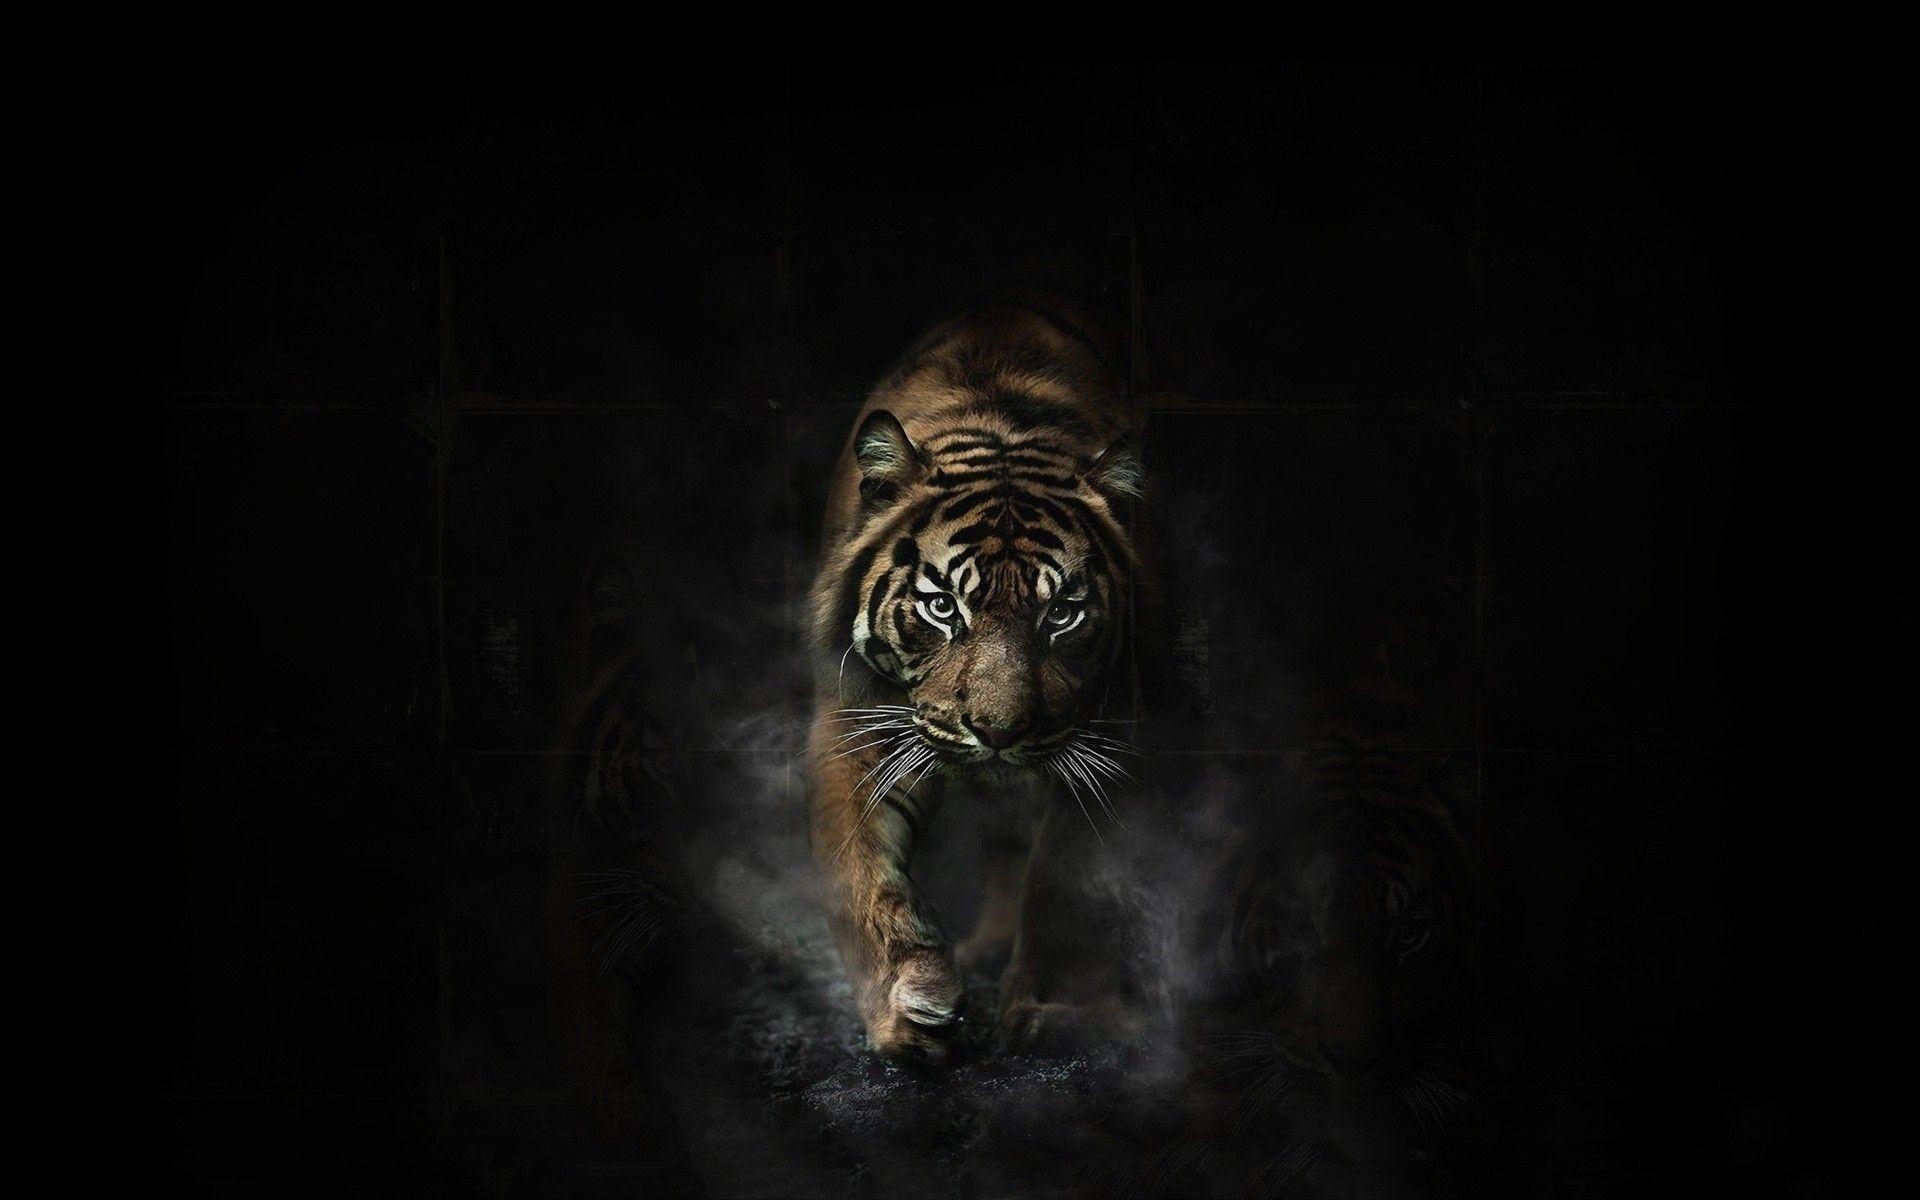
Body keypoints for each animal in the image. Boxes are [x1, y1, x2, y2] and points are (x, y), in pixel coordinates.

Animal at [805, 300, 1148, 1063]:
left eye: (1062, 613)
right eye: (942, 607)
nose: (997, 730)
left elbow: (1065, 878)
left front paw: (1052, 1009)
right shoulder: (857, 719)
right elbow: (861, 872)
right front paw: (909, 1005)